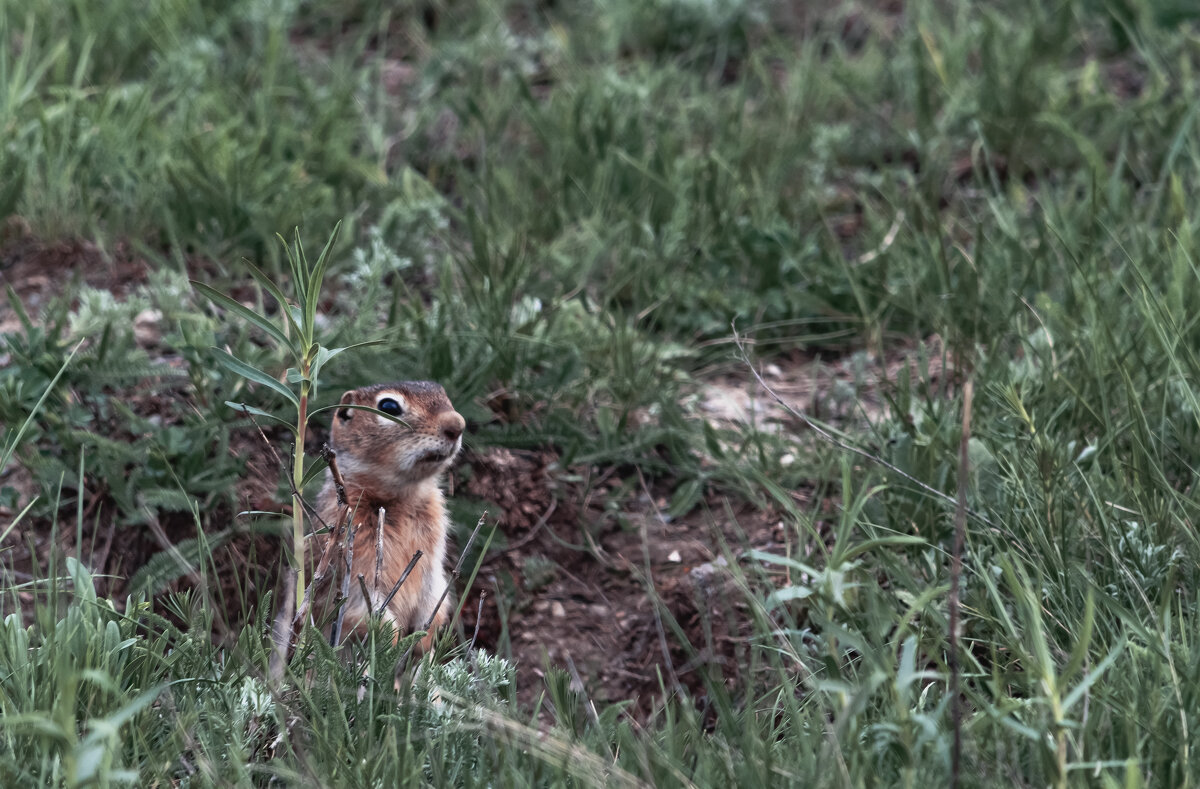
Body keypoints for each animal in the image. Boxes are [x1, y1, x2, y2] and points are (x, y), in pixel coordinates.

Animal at [314, 378, 463, 647]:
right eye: (389, 406)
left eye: (442, 392)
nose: (457, 425)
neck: (401, 497)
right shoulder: (353, 569)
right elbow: (363, 609)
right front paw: (392, 642)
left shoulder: (433, 566)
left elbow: (434, 598)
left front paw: (423, 640)